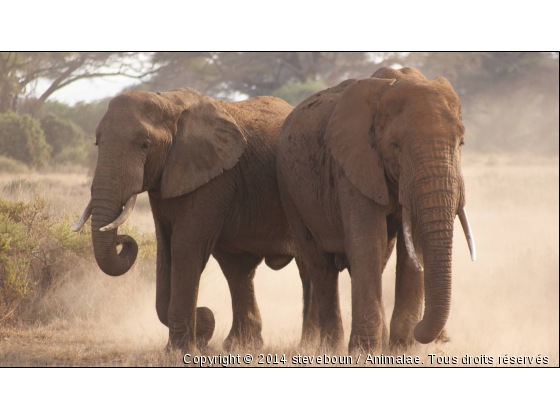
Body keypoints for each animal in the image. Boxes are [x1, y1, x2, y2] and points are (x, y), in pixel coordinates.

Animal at [71, 88, 318, 352]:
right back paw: (240, 346)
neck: (169, 102)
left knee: (306, 264)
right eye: (97, 143)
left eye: (145, 145)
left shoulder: (214, 177)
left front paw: (181, 349)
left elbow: (185, 246)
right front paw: (197, 333)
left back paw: (309, 345)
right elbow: (165, 247)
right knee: (237, 268)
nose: (122, 240)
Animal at [278, 67, 474, 352]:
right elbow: (368, 241)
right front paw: (364, 353)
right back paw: (331, 349)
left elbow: (413, 247)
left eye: (461, 143)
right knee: (321, 267)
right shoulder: (353, 163)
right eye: (395, 145)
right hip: (290, 191)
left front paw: (403, 351)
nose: (442, 338)